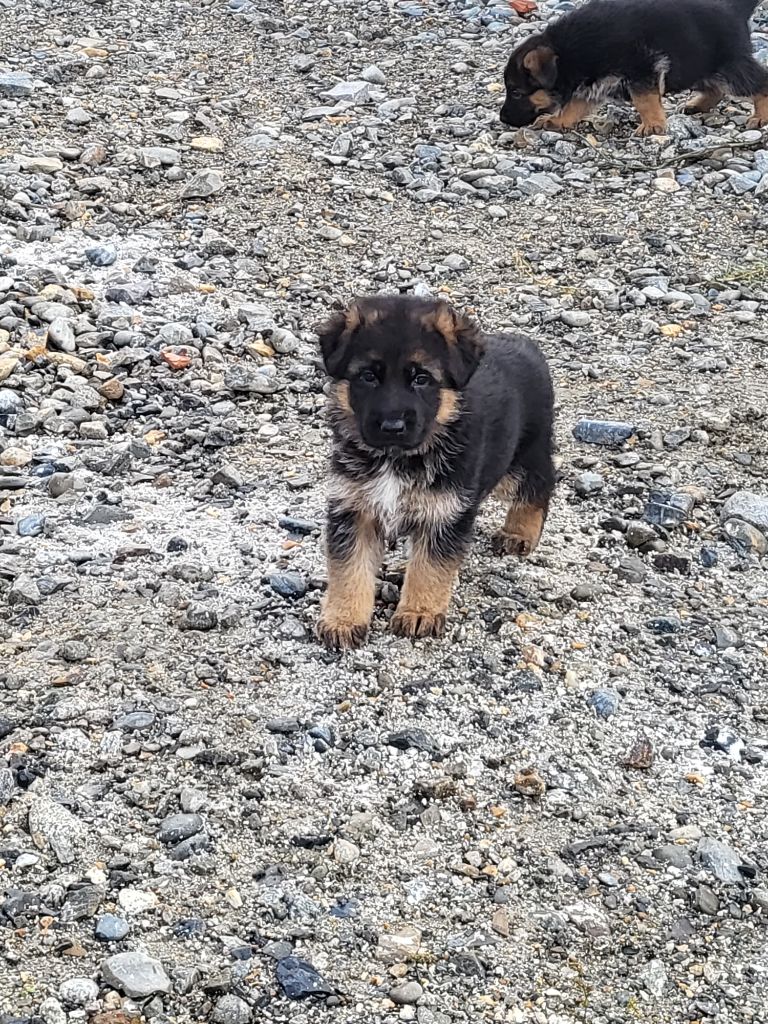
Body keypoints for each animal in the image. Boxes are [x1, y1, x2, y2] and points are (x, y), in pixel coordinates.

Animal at [315, 294, 557, 647]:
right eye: (368, 376)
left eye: (421, 378)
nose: (392, 426)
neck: (397, 459)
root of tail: (526, 345)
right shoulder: (353, 509)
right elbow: (348, 569)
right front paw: (343, 619)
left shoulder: (446, 512)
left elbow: (431, 567)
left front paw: (419, 613)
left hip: (523, 455)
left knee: (541, 481)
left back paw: (519, 533)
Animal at [501, 0, 765, 136]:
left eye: (516, 92)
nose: (502, 119)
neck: (568, 50)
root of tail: (734, 9)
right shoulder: (592, 86)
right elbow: (575, 106)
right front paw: (558, 120)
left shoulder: (642, 69)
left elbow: (644, 100)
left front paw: (653, 125)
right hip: (697, 66)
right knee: (716, 89)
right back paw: (698, 105)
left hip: (728, 66)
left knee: (762, 82)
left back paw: (761, 117)